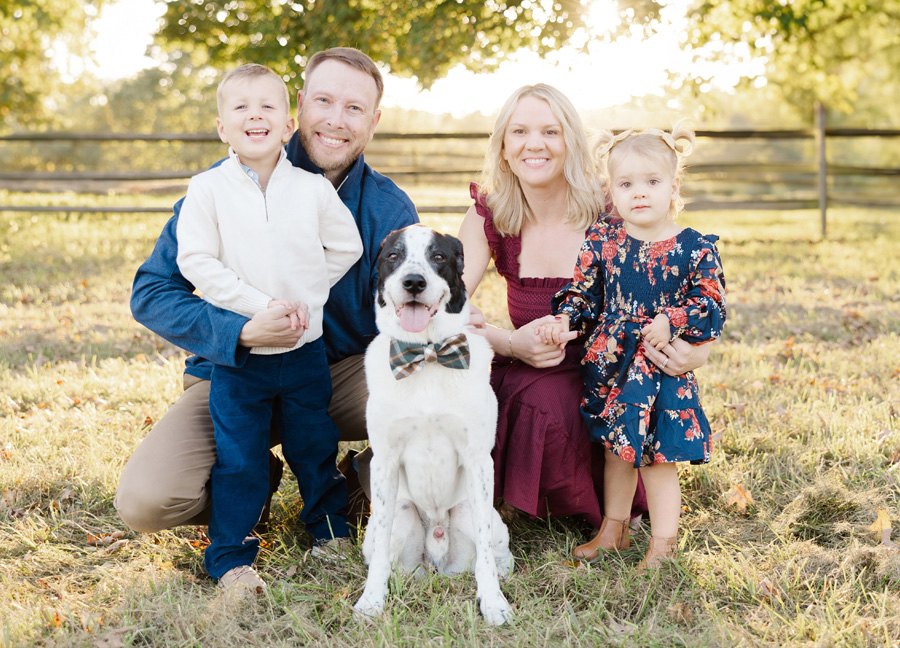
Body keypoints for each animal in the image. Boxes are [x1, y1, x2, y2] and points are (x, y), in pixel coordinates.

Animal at [352, 224, 512, 628]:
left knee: (493, 553)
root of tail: (437, 560)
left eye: (438, 256)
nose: (413, 282)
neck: (426, 356)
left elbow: (485, 558)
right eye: (393, 256)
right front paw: (371, 602)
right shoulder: (384, 461)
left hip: (476, 512)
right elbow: (378, 561)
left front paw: (493, 602)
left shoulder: (479, 460)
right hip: (399, 515)